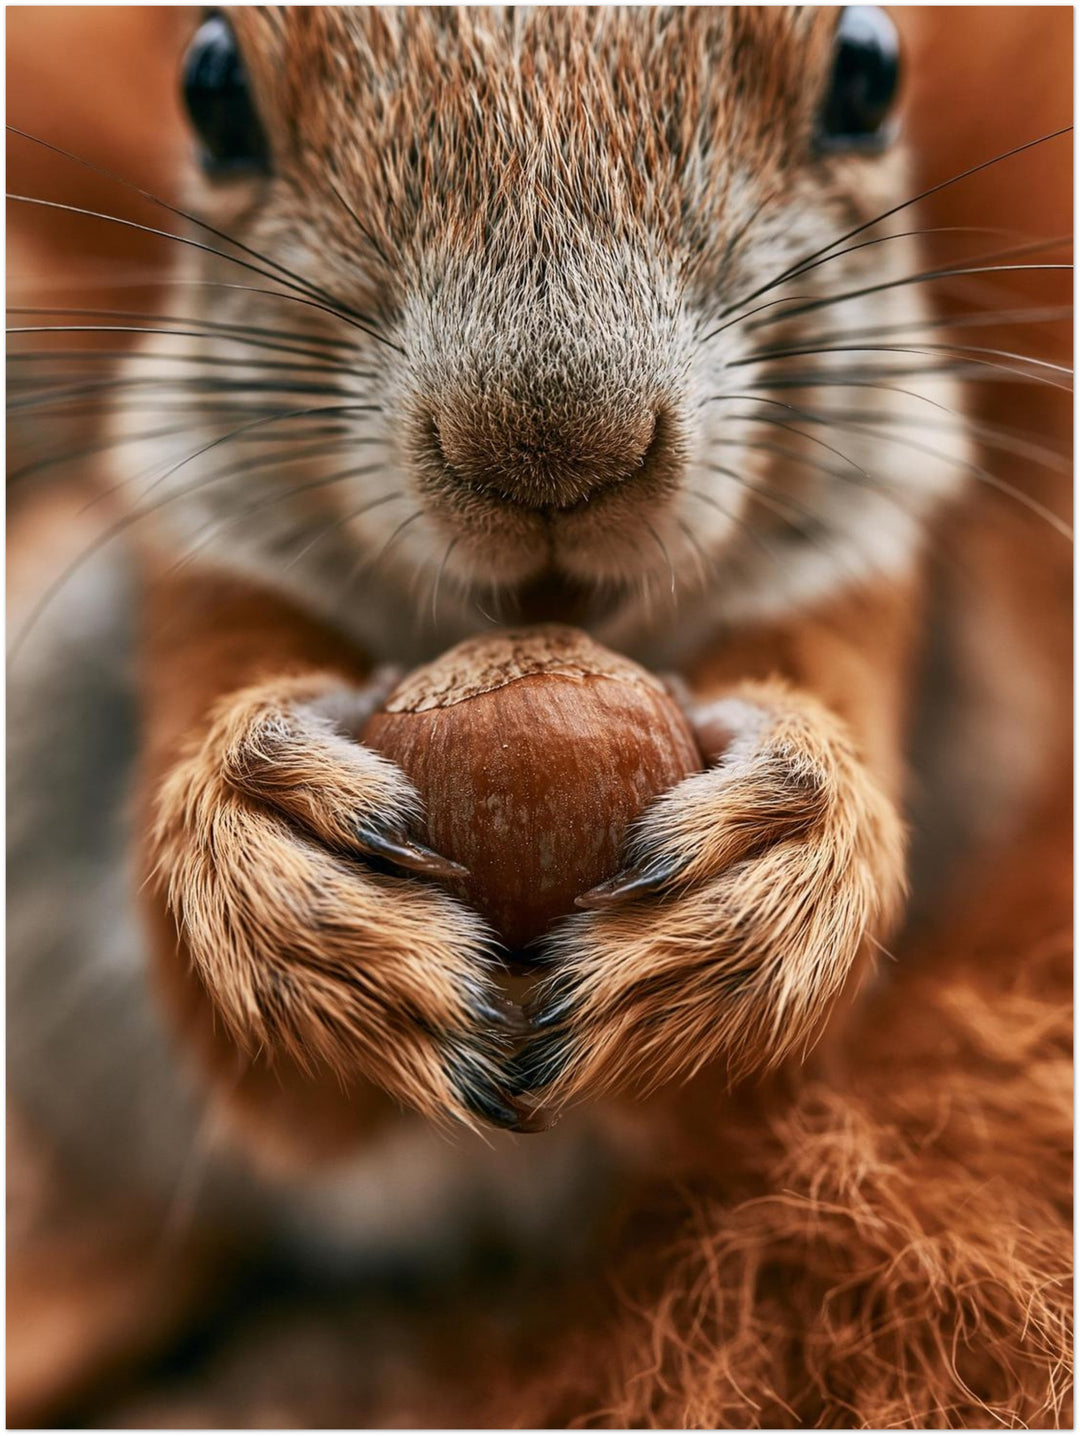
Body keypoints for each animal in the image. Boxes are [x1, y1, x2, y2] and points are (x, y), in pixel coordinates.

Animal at [7, 7, 1071, 1424]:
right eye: (213, 90)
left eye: (867, 75)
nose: (552, 447)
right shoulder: (198, 566)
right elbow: (260, 1059)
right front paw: (278, 877)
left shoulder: (877, 580)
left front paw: (780, 869)